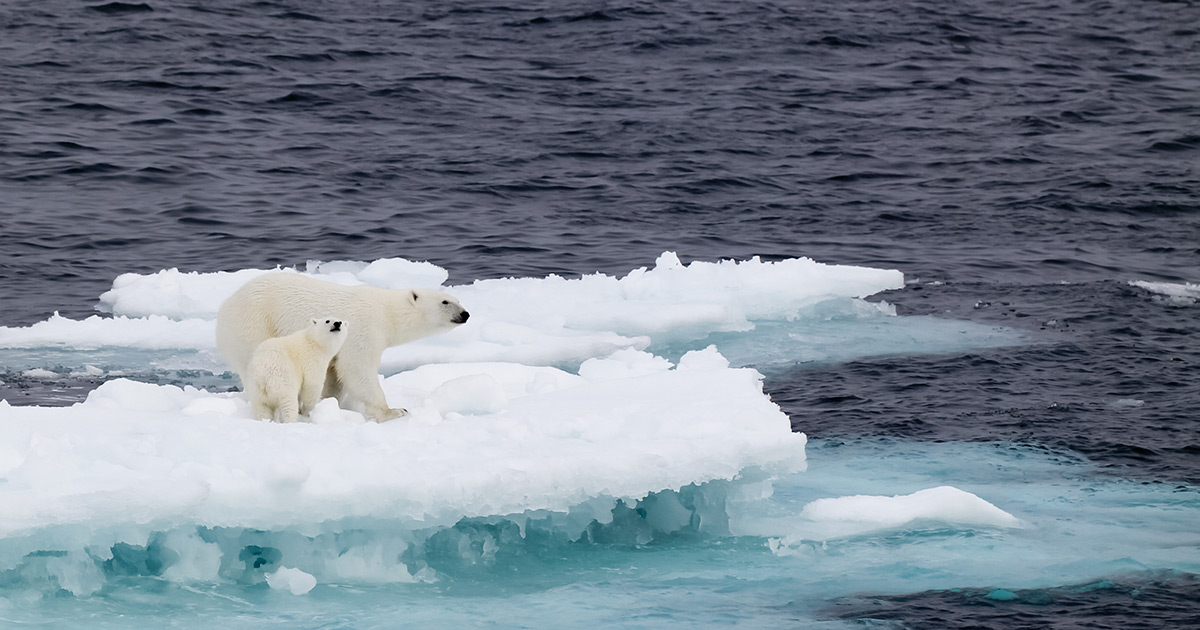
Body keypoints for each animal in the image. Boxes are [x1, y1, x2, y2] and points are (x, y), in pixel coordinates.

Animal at [218, 272, 470, 420]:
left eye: (458, 300)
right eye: (445, 302)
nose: (465, 314)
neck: (387, 313)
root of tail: (225, 307)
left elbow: (334, 374)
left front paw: (331, 403)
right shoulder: (364, 330)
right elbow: (358, 368)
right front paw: (394, 411)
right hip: (254, 323)